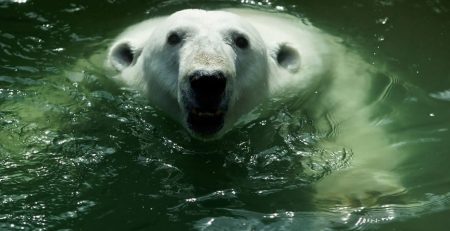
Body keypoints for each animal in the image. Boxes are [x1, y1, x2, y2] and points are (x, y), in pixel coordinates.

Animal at [107, 8, 406, 205]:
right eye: (173, 37)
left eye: (241, 40)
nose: (208, 80)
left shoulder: (322, 75)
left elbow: (348, 118)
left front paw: (362, 191)